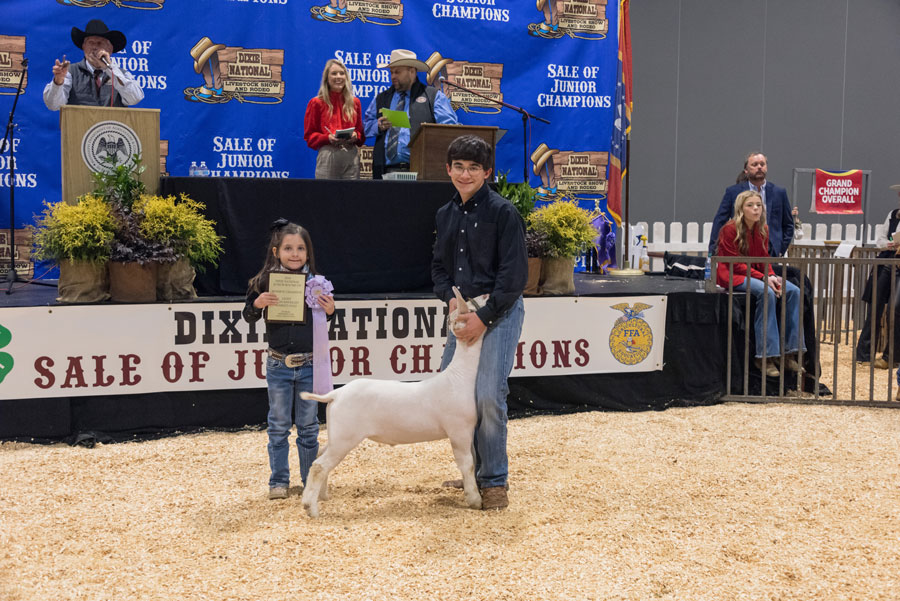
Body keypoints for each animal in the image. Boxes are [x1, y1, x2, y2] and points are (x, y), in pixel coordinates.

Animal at [300, 286, 486, 516]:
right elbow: (467, 464)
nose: (487, 295)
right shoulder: (459, 430)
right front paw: (475, 501)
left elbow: (472, 459)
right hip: (345, 436)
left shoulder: (467, 431)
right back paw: (311, 508)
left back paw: (321, 496)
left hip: (338, 434)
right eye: (471, 306)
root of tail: (336, 394)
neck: (459, 376)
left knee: (319, 455)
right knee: (319, 465)